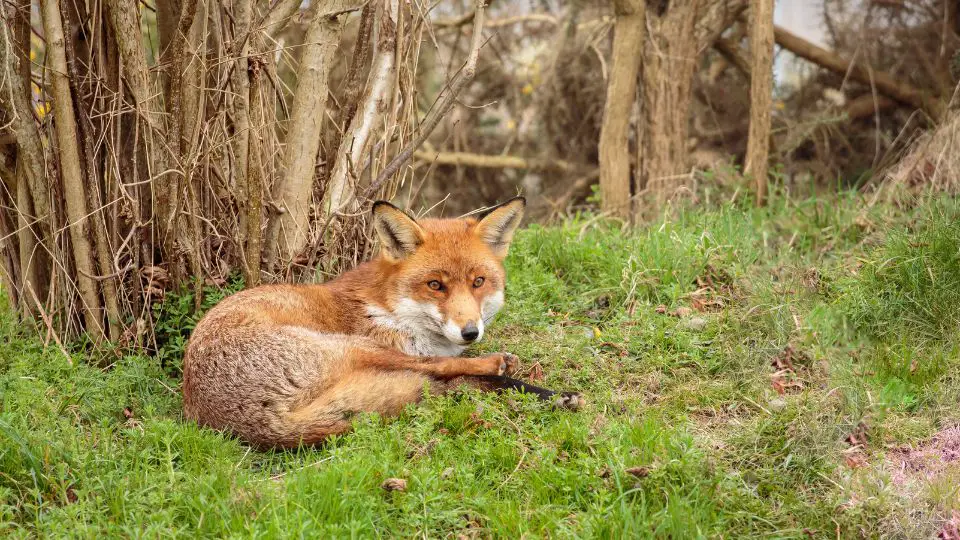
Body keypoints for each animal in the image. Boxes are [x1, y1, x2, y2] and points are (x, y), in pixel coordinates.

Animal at [183, 197, 580, 448]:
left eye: (478, 282)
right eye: (435, 285)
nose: (470, 332)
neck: (393, 309)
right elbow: (444, 363)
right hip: (354, 347)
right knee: (440, 370)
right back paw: (507, 371)